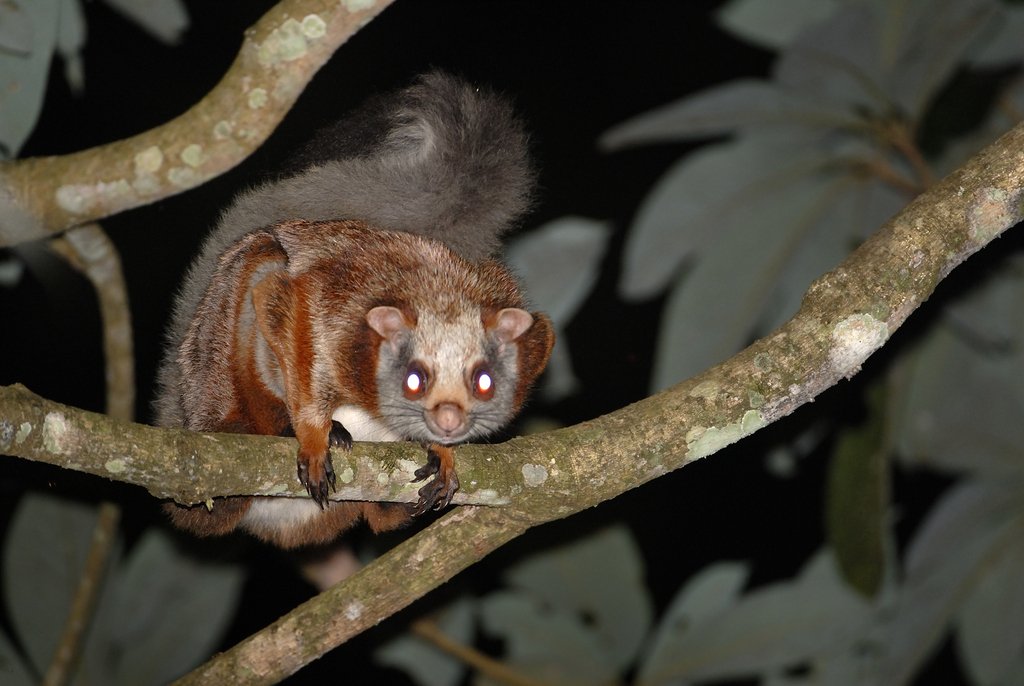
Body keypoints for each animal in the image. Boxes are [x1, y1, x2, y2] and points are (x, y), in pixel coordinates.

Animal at [154, 72, 555, 548]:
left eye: (484, 383)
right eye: (416, 377)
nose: (448, 420)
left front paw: (443, 450)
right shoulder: (335, 305)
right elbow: (286, 304)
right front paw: (311, 432)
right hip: (207, 382)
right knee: (261, 258)